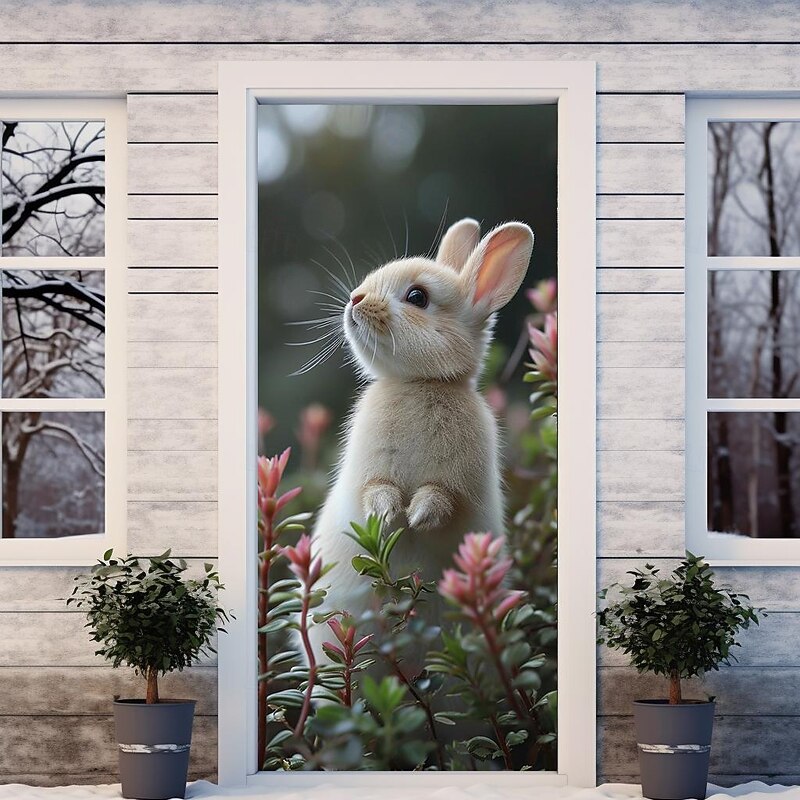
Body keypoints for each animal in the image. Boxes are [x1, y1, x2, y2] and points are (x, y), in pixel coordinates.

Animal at [306, 218, 534, 677]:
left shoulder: (459, 486)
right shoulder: (369, 473)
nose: (355, 299)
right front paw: (389, 513)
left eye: (417, 297)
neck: (420, 384)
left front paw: (417, 516)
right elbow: (375, 490)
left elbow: (441, 499)